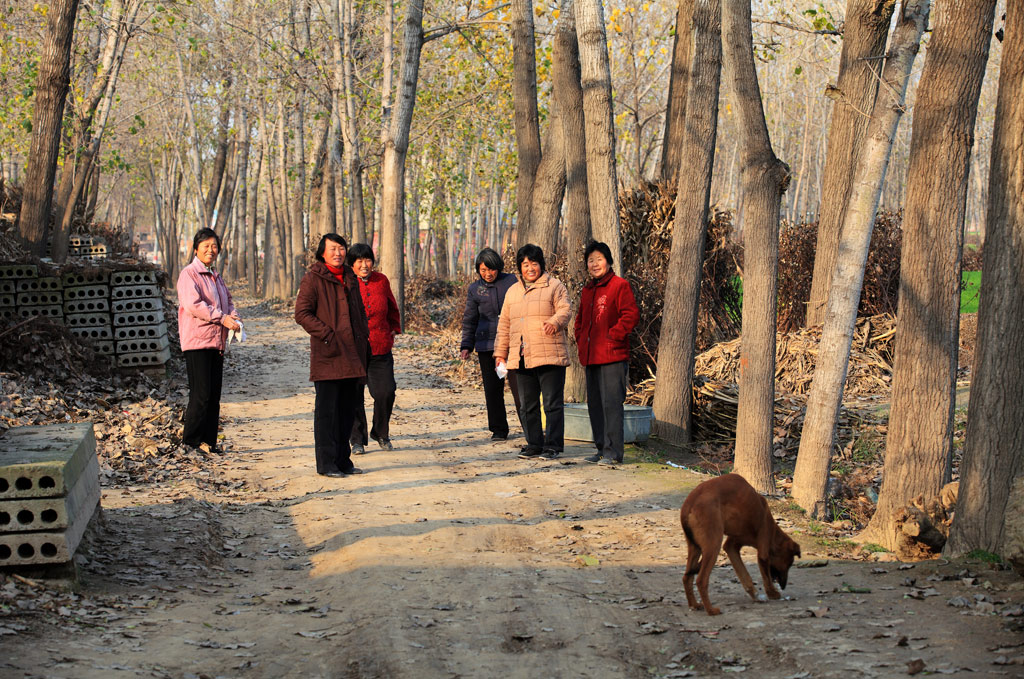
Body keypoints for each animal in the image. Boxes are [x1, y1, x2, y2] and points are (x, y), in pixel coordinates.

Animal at [684, 473, 802, 614]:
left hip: (695, 547)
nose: (783, 586)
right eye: (789, 564)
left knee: (687, 577)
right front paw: (772, 593)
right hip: (713, 545)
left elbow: (745, 575)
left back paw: (694, 605)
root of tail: (689, 505)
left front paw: (755, 595)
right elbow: (766, 576)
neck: (774, 531)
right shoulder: (763, 550)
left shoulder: (731, 547)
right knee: (701, 580)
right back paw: (711, 610)